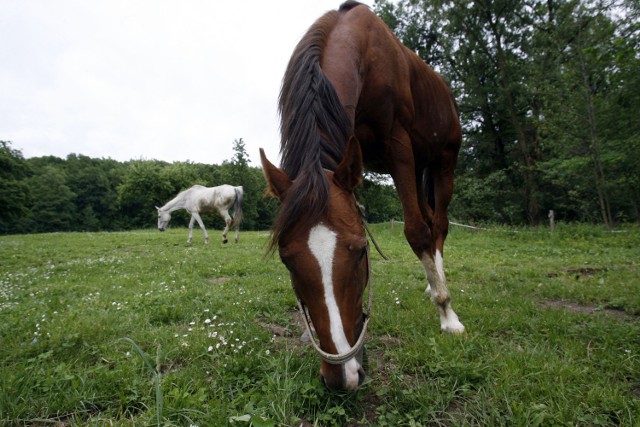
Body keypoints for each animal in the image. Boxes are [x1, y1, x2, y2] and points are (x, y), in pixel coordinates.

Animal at [260, 1, 464, 392]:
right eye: (287, 261)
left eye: (360, 251)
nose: (342, 376)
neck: (362, 50)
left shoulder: (399, 146)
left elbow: (416, 232)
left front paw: (447, 314)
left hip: (444, 162)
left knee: (439, 225)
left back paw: (440, 294)